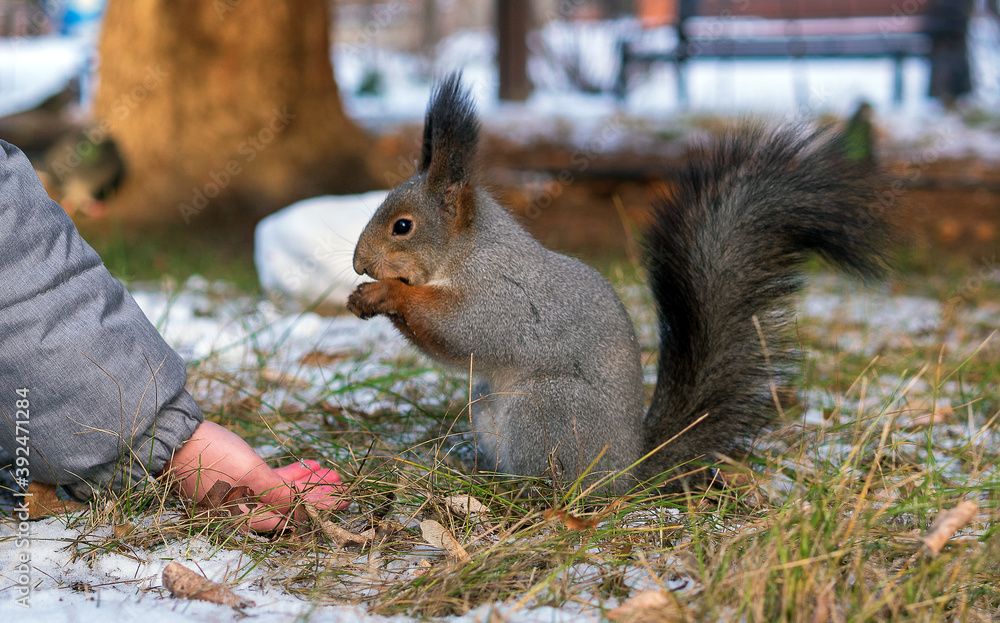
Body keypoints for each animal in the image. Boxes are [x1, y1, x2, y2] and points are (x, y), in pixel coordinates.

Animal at [350, 73, 892, 492]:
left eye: (403, 226)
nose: (358, 264)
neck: (464, 254)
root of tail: (627, 471)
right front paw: (361, 298)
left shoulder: (505, 296)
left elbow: (465, 331)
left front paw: (387, 292)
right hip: (486, 408)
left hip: (546, 411)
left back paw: (530, 494)